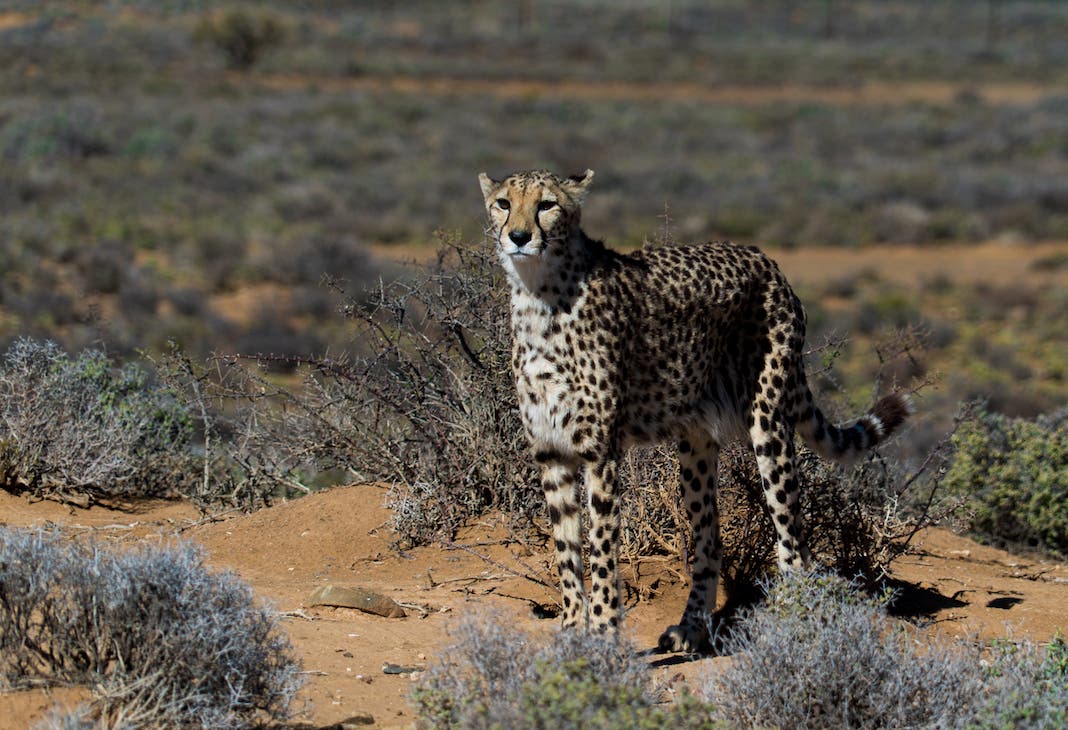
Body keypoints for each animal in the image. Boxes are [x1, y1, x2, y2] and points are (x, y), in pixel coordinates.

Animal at [478, 168, 911, 652]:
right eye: (503, 203)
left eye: (547, 205)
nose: (518, 236)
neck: (540, 294)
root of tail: (766, 260)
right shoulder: (551, 453)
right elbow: (567, 554)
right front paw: (573, 633)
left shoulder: (600, 453)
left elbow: (603, 553)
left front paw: (604, 635)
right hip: (696, 443)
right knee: (709, 542)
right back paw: (691, 629)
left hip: (768, 423)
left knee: (794, 544)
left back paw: (794, 627)